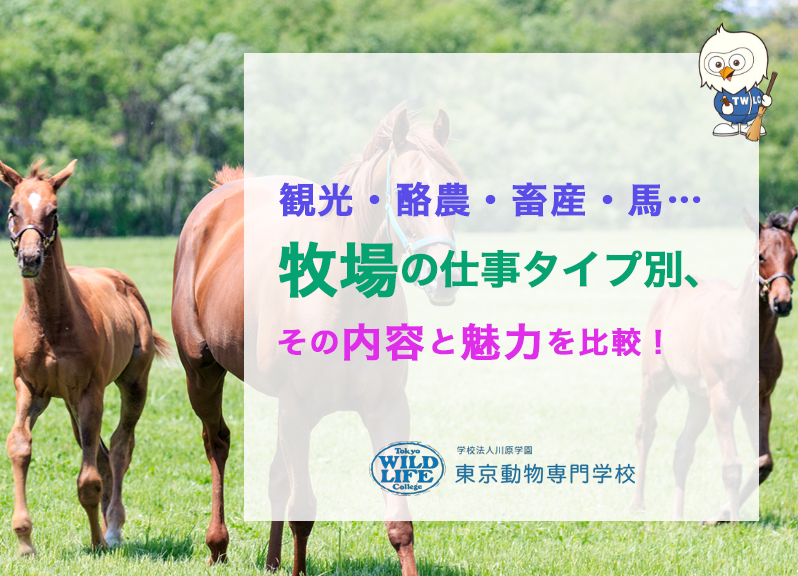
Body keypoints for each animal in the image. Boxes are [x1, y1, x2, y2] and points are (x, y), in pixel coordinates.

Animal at [0, 159, 169, 555]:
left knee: (120, 447)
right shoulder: (29, 387)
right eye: (13, 209)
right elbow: (19, 445)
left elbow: (89, 477)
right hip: (68, 402)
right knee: (103, 451)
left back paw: (113, 528)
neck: (51, 323)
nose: (30, 258)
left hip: (132, 384)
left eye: (53, 211)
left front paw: (96, 541)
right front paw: (24, 540)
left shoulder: (91, 391)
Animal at [171, 107, 461, 575]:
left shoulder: (387, 409)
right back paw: (217, 545)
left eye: (456, 193)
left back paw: (272, 561)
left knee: (274, 476)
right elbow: (303, 510)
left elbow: (400, 523)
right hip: (202, 372)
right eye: (405, 194)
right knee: (217, 443)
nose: (444, 279)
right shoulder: (297, 410)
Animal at [629, 222, 759, 522]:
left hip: (699, 398)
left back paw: (678, 516)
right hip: (655, 381)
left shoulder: (751, 400)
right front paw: (734, 523)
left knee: (683, 448)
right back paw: (637, 503)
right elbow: (732, 465)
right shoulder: (723, 398)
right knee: (645, 429)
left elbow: (761, 460)